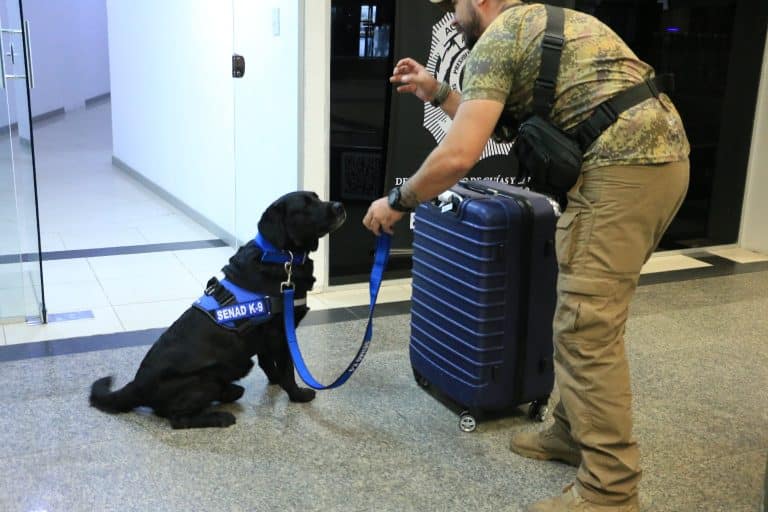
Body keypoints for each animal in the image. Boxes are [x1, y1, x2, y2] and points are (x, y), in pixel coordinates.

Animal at [88, 192, 348, 428]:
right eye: (305, 206)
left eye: (317, 197)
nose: (339, 205)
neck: (280, 256)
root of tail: (137, 385)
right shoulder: (280, 334)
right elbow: (287, 370)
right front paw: (297, 395)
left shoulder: (264, 337)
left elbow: (268, 364)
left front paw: (275, 383)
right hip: (205, 380)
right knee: (177, 419)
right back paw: (219, 417)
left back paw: (230, 392)